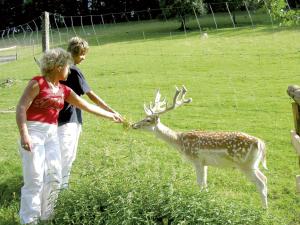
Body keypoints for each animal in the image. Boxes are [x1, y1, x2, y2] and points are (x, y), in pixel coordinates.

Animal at [132, 85, 268, 207]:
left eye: (148, 120)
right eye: (144, 117)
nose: (134, 125)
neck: (179, 142)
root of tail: (260, 144)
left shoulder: (196, 159)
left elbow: (199, 183)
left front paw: (199, 202)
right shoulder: (205, 163)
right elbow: (205, 183)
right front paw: (206, 199)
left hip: (245, 164)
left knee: (261, 182)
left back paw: (264, 210)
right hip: (253, 164)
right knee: (264, 178)